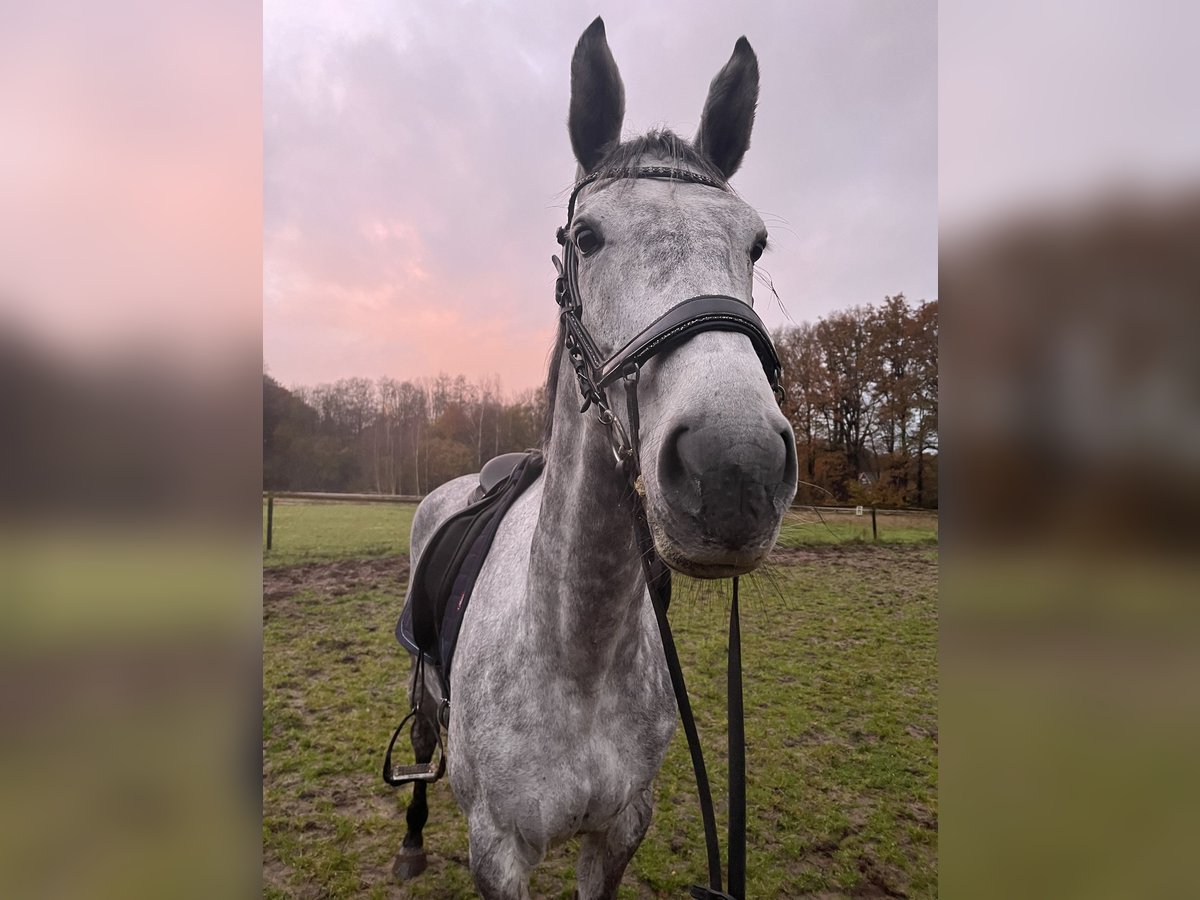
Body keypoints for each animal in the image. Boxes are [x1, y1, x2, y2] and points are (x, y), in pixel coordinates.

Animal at [391, 17, 796, 897]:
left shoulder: (620, 829)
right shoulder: (498, 850)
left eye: (755, 243)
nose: (734, 470)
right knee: (423, 739)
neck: (574, 649)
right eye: (586, 236)